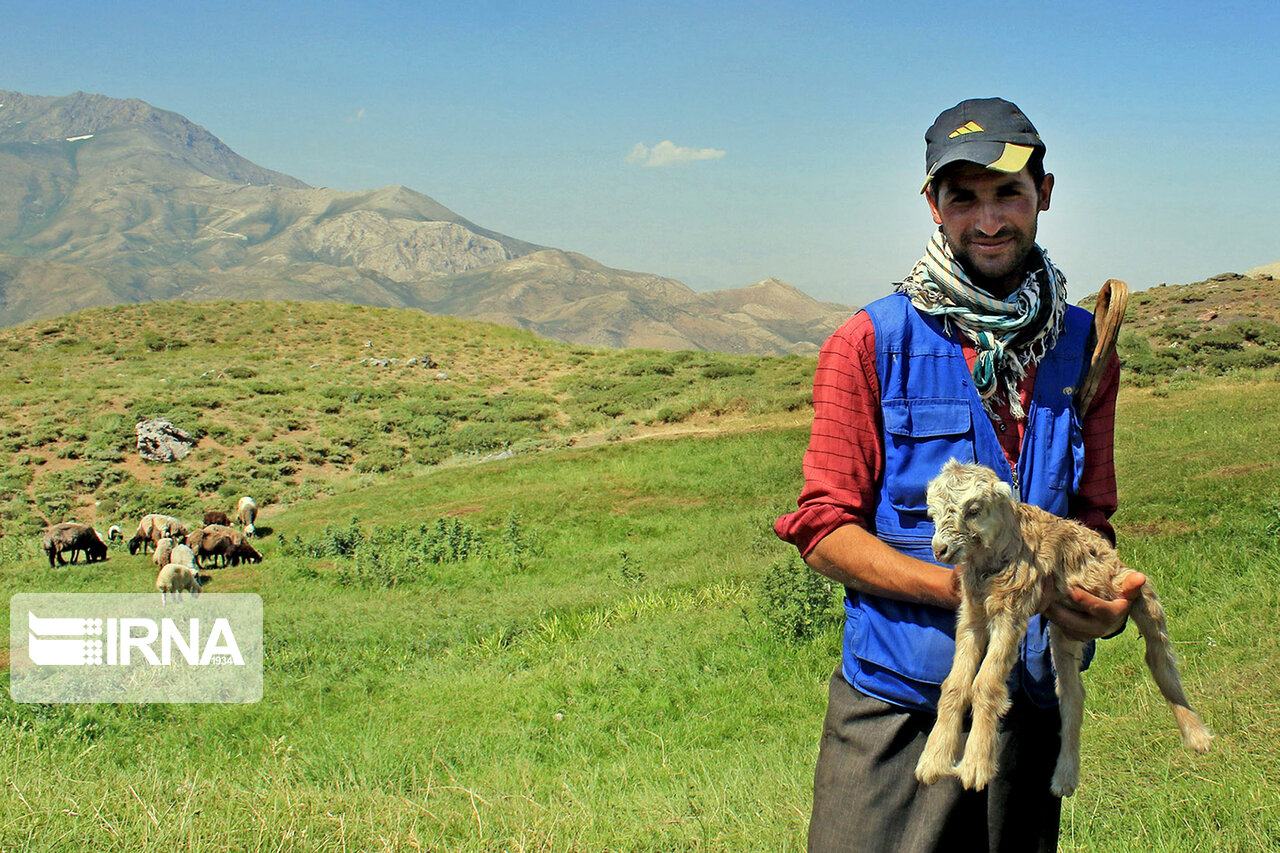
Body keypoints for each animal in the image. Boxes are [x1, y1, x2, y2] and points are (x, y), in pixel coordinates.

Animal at [911, 458, 1208, 799]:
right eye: (931, 514)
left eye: (973, 509)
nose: (940, 550)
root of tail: (1110, 555)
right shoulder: (971, 616)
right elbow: (954, 685)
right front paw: (932, 762)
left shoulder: (1011, 609)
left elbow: (986, 684)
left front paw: (974, 767)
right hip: (1064, 629)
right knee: (1071, 695)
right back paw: (1064, 778)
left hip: (1134, 589)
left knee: (1160, 656)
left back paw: (1197, 736)